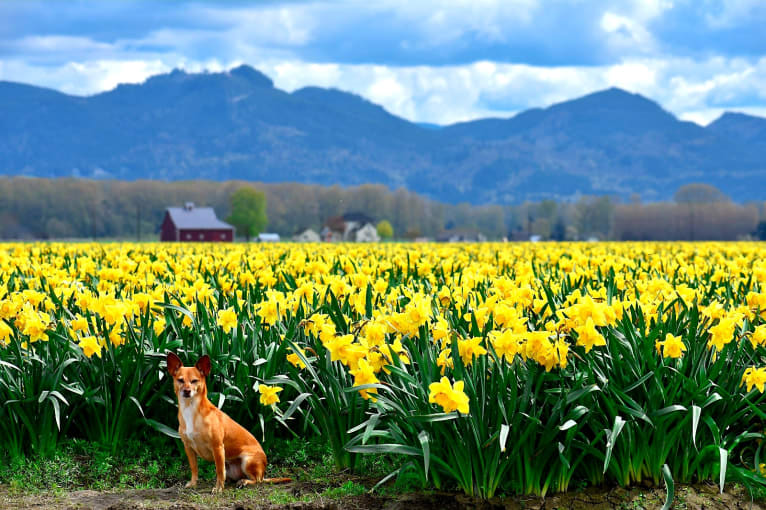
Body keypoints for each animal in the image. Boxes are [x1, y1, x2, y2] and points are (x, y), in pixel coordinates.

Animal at [166, 352, 290, 492]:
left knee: (256, 480)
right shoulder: (188, 448)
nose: (187, 391)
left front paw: (218, 488)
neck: (191, 409)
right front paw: (193, 483)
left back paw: (244, 482)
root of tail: (263, 472)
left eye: (194, 381)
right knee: (234, 476)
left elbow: (219, 471)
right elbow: (194, 468)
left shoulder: (217, 447)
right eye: (180, 380)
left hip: (247, 461)